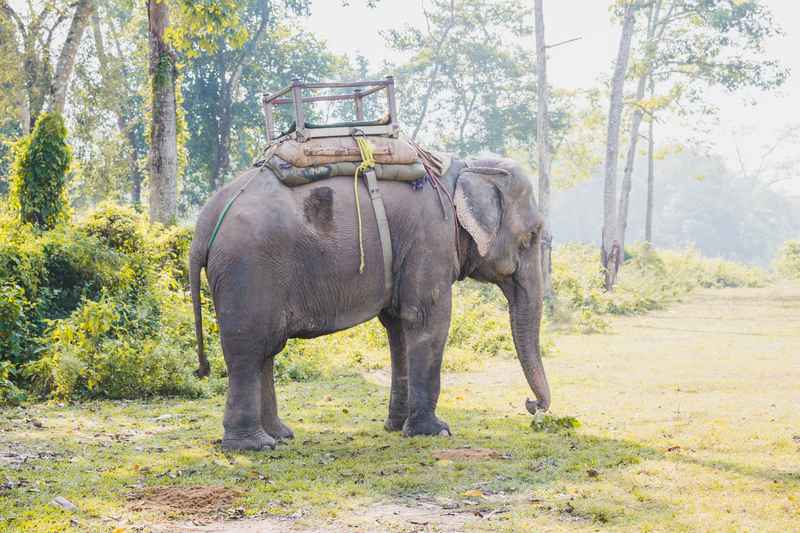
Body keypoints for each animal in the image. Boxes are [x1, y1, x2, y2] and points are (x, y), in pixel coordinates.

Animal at [189, 156, 551, 450]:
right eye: (531, 236)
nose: (532, 406)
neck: (463, 169)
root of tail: (203, 224)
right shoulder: (430, 240)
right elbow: (427, 319)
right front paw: (436, 432)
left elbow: (399, 325)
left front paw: (397, 427)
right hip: (248, 270)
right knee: (248, 350)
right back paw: (254, 446)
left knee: (266, 350)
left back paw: (280, 436)